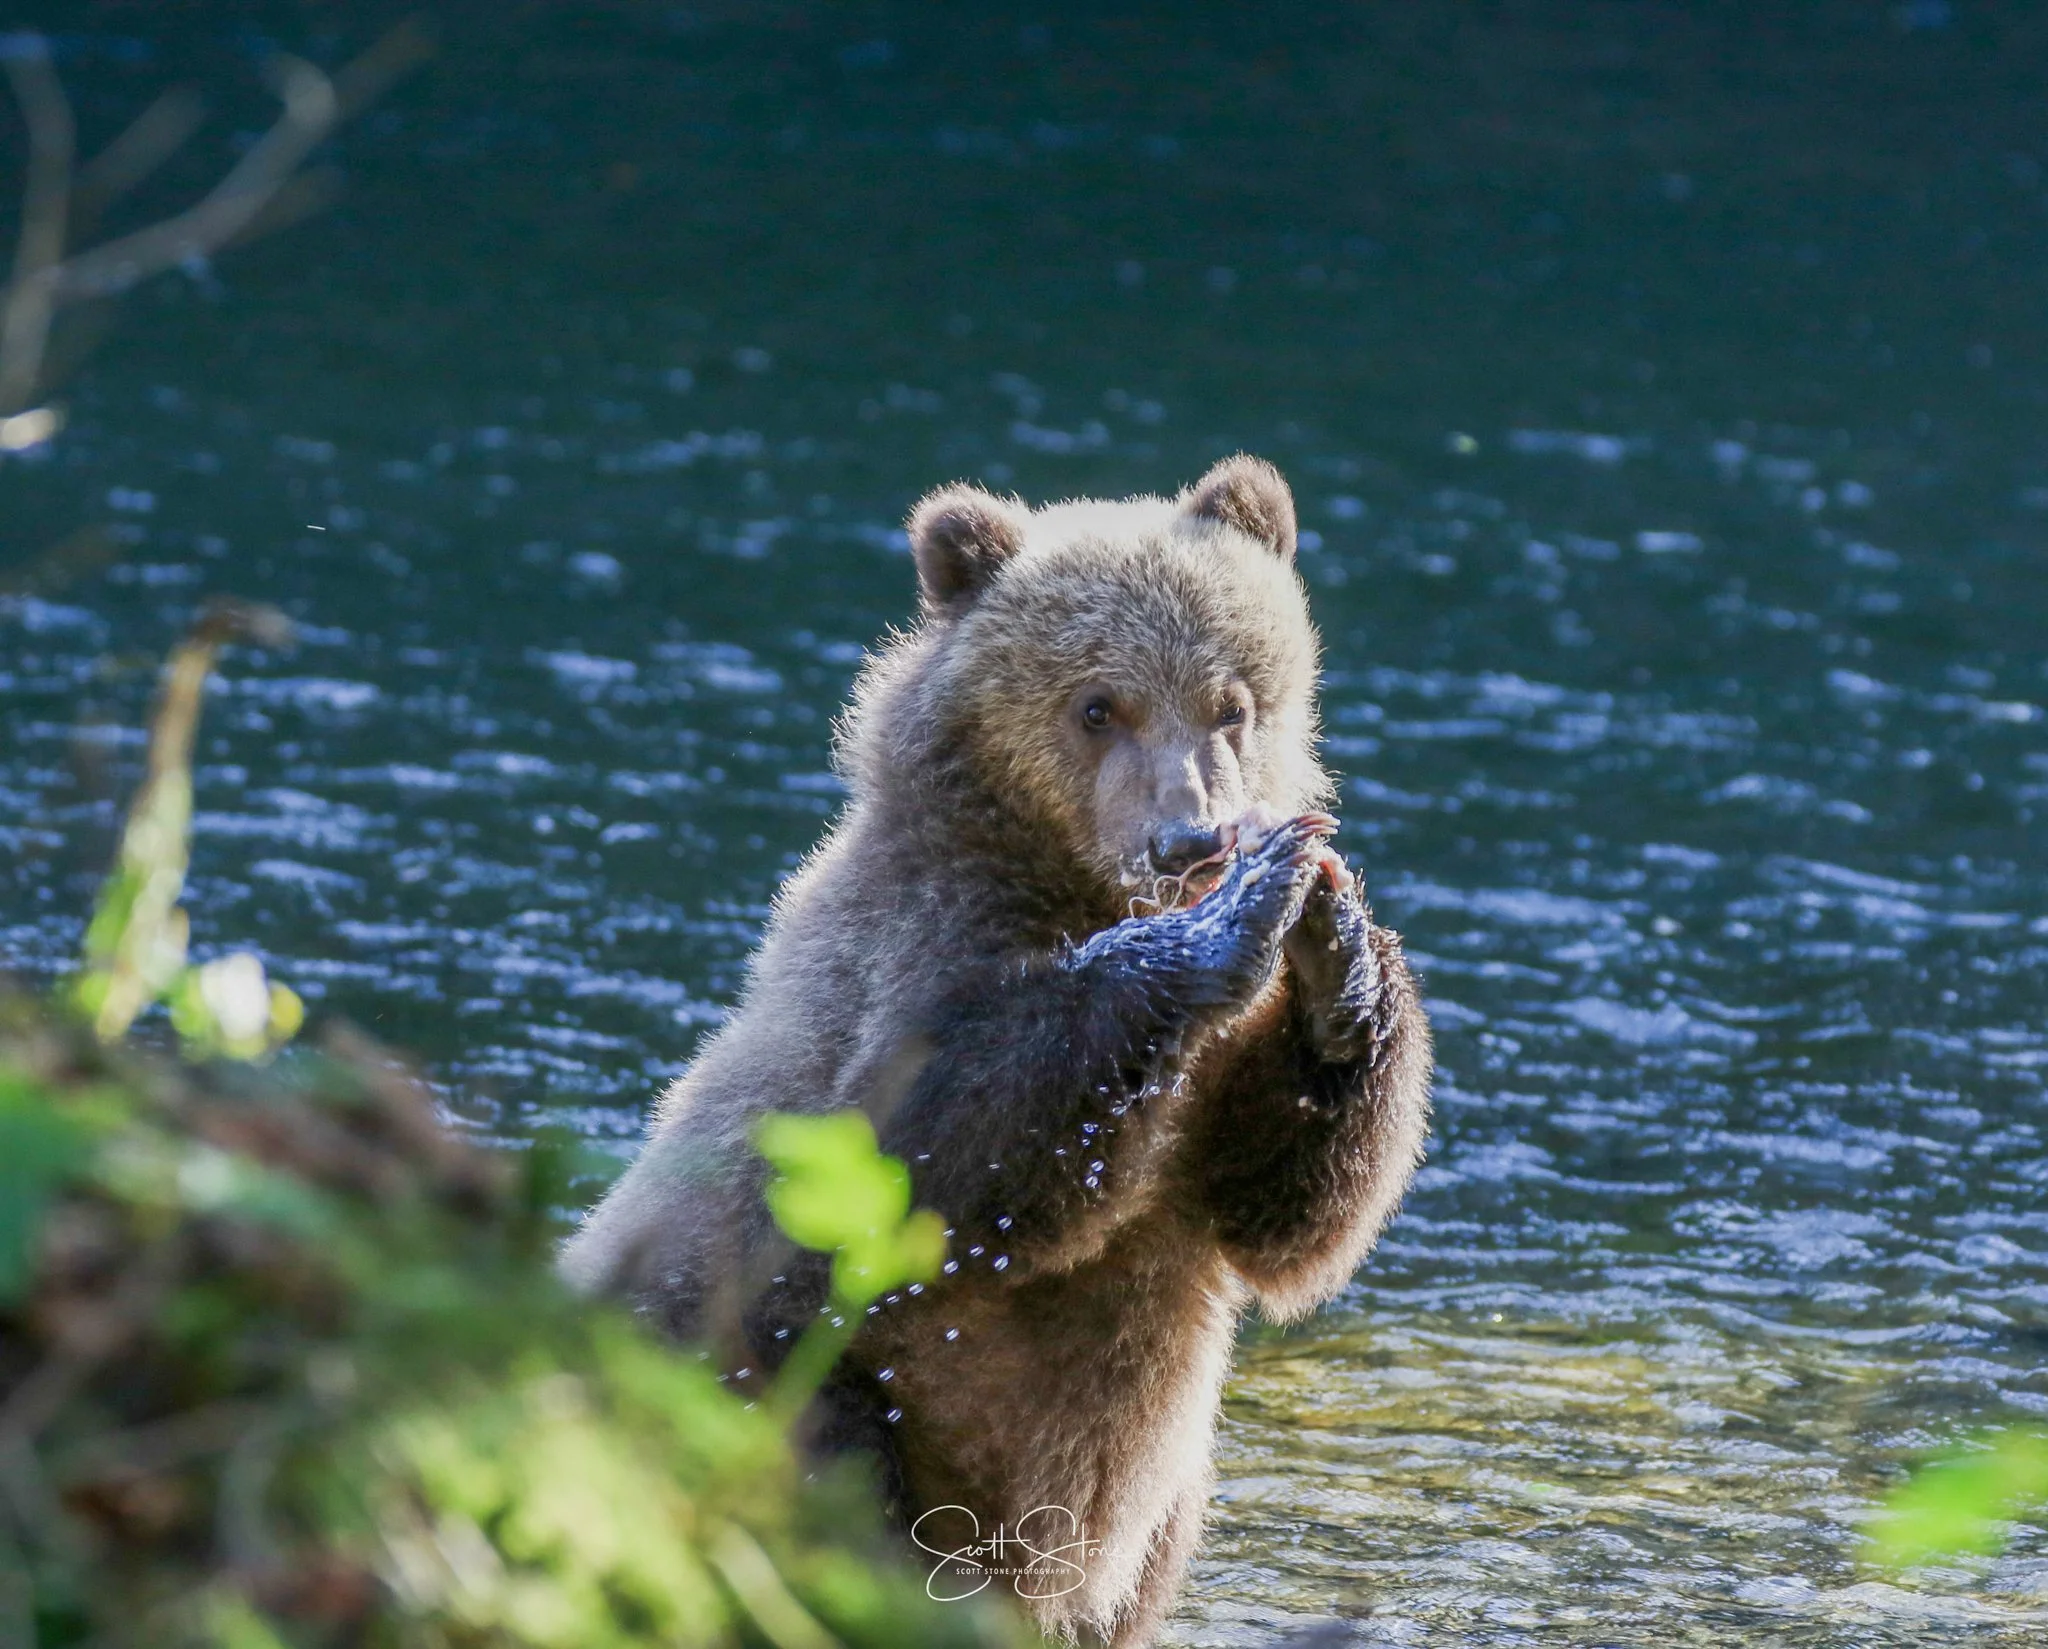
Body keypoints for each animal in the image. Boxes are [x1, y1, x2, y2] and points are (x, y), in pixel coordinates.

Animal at [561, 456, 1433, 1648]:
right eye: (1097, 704)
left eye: (1233, 702)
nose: (1191, 840)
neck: (1067, 879)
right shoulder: (910, 957)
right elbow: (933, 1150)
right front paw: (1231, 919)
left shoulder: (1212, 1100)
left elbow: (1282, 1203)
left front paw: (1335, 950)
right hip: (764, 1365)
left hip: (1156, 1496)